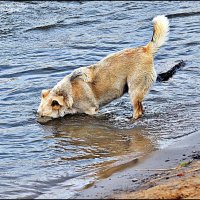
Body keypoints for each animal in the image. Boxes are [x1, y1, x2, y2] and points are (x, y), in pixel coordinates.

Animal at [37, 15, 169, 120]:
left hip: (134, 91)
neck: (67, 94)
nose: (37, 121)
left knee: (138, 111)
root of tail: (145, 49)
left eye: (43, 116)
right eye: (38, 113)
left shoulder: (91, 111)